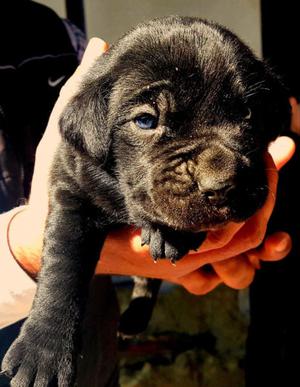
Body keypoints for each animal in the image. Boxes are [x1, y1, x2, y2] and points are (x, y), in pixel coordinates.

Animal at [1, 16, 290, 386]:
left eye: (251, 114)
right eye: (146, 121)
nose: (221, 184)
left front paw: (169, 232)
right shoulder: (70, 190)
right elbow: (63, 268)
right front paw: (43, 352)